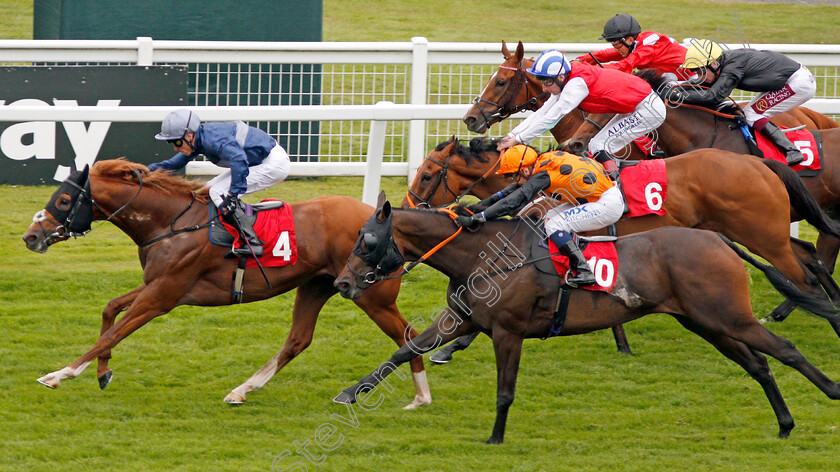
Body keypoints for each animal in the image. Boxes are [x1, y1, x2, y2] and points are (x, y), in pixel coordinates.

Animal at [20, 159, 434, 410]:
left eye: (64, 200)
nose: (30, 237)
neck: (170, 223)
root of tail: (384, 222)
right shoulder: (157, 285)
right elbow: (110, 310)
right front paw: (102, 372)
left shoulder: (162, 295)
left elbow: (113, 333)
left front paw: (59, 374)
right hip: (317, 285)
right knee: (298, 340)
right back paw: (242, 390)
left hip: (374, 297)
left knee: (410, 335)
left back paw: (421, 396)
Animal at [332, 197, 840, 444]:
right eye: (356, 236)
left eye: (369, 242)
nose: (342, 283)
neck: (482, 256)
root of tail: (717, 238)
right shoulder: (463, 319)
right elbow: (406, 349)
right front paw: (350, 392)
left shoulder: (507, 331)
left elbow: (504, 389)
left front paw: (495, 438)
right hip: (706, 322)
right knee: (759, 364)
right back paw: (785, 423)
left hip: (728, 316)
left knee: (784, 351)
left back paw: (830, 392)